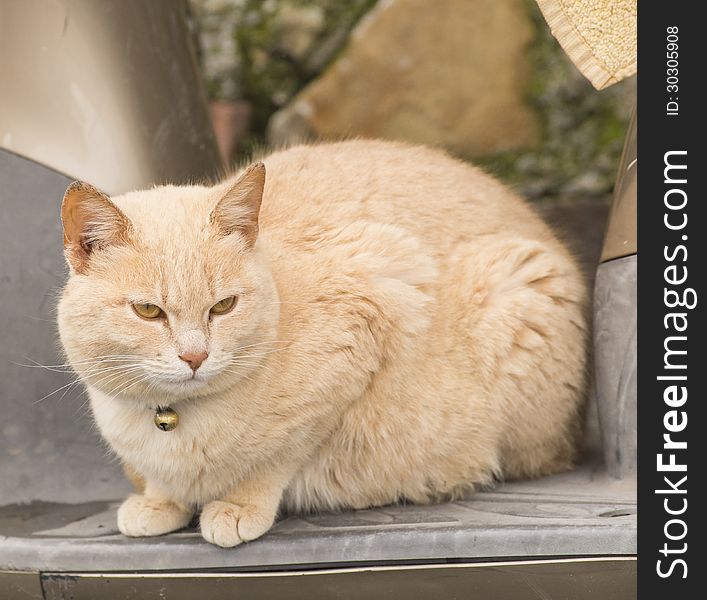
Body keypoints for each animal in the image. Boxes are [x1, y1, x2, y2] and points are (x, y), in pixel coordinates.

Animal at [56, 141, 588, 548]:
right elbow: (163, 486)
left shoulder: (378, 297)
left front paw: (237, 505)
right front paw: (158, 503)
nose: (194, 357)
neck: (173, 423)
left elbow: (276, 458)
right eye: (149, 312)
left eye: (223, 306)